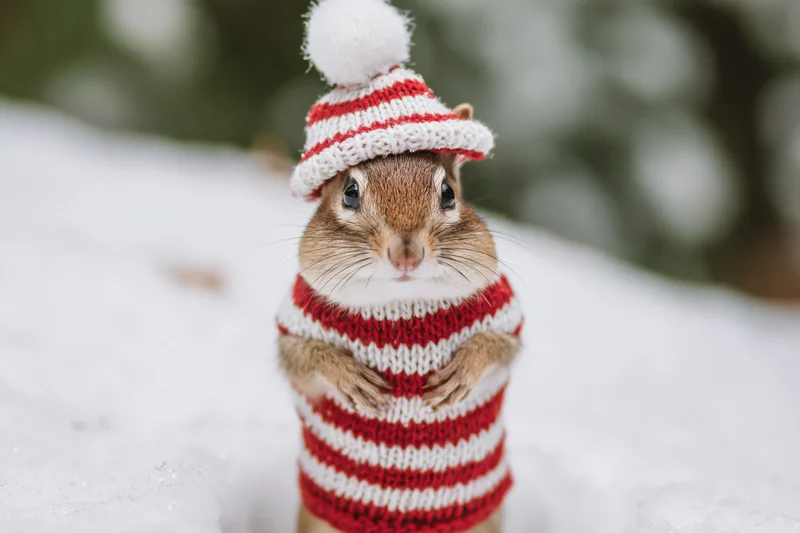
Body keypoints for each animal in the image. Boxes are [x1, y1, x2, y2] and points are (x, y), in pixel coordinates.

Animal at [275, 1, 523, 532]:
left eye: (448, 194)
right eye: (349, 193)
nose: (406, 254)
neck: (401, 306)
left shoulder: (504, 314)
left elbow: (498, 347)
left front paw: (462, 372)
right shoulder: (295, 321)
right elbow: (303, 358)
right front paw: (349, 375)